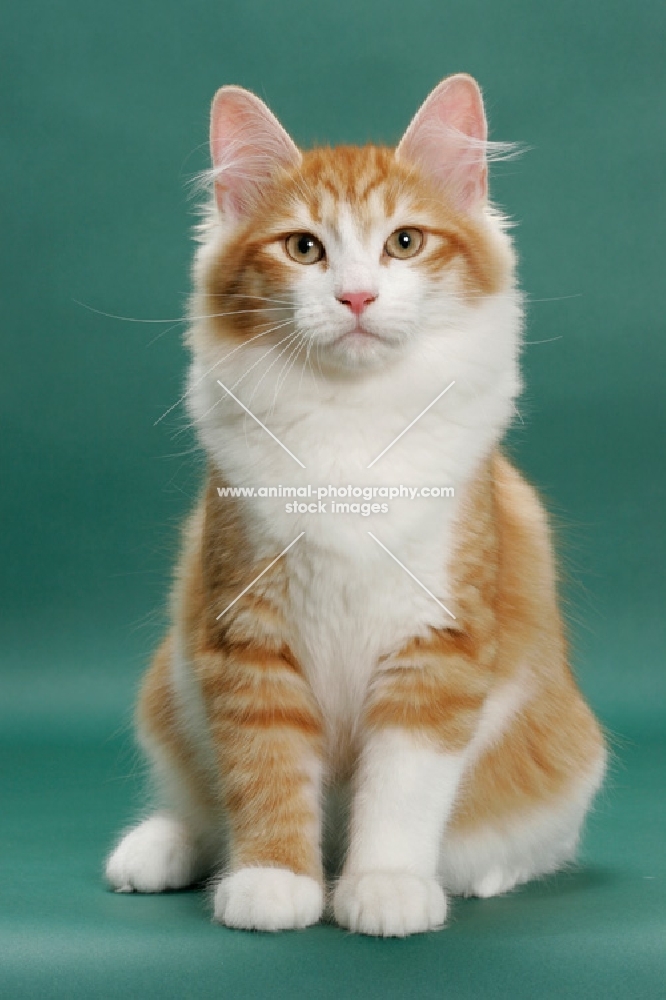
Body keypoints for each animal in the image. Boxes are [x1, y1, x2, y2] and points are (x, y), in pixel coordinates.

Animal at [105, 72, 608, 936]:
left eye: (403, 242)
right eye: (304, 248)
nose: (358, 297)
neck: (352, 421)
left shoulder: (436, 651)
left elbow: (400, 793)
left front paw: (384, 886)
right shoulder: (243, 638)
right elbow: (265, 774)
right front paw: (273, 882)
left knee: (534, 844)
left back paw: (484, 875)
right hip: (171, 689)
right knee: (199, 808)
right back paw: (160, 850)